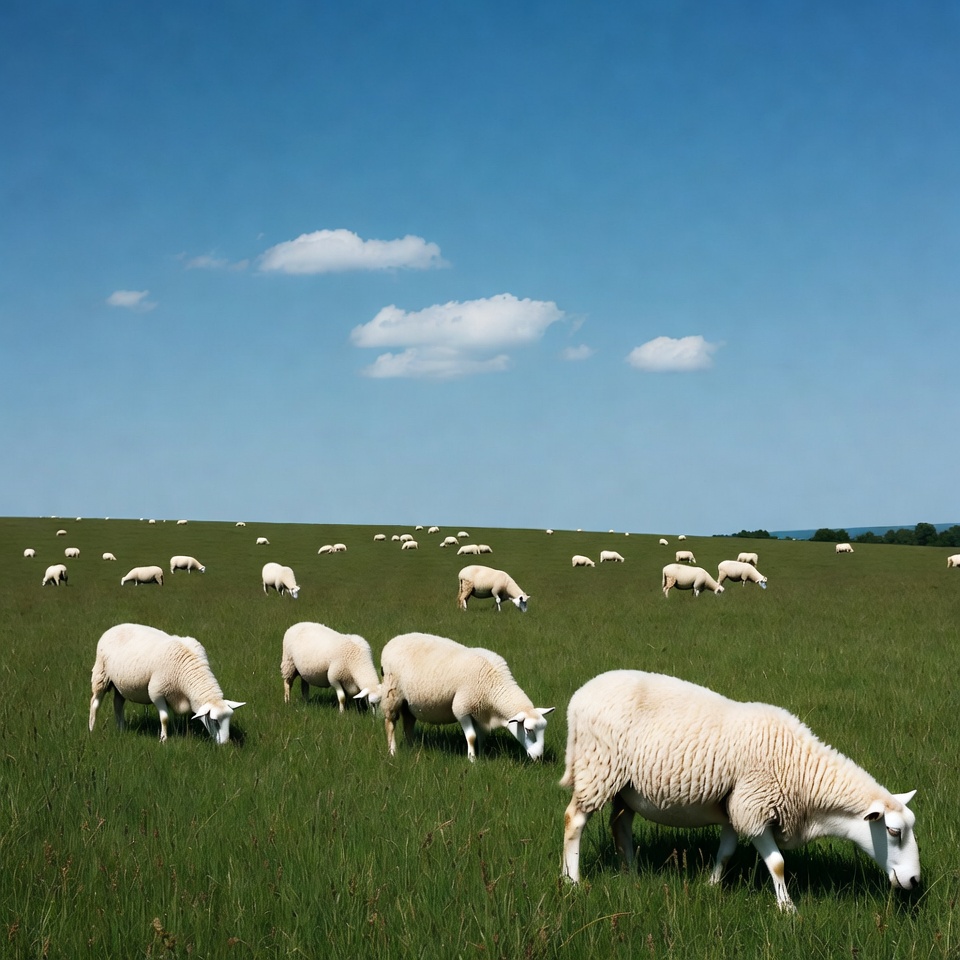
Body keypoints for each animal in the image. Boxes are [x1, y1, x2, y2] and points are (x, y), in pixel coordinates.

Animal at [89, 622, 244, 744]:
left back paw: (121, 729)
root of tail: (114, 627)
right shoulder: (157, 692)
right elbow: (164, 718)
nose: (225, 744)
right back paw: (92, 729)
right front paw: (163, 739)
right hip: (101, 674)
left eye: (229, 719)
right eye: (215, 721)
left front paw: (179, 733)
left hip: (120, 684)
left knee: (118, 704)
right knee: (95, 703)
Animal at [380, 631, 553, 761]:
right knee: (390, 723)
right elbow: (471, 737)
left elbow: (482, 736)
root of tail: (393, 641)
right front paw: (472, 759)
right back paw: (392, 752)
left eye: (544, 728)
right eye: (528, 730)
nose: (539, 757)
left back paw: (412, 748)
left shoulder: (480, 711)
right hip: (392, 694)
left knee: (408, 724)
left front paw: (482, 754)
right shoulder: (462, 708)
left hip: (408, 703)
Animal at [559, 669, 920, 911]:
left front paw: (711, 885)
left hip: (624, 787)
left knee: (620, 824)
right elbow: (777, 863)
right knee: (574, 820)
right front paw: (788, 910)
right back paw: (572, 881)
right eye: (892, 831)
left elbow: (726, 851)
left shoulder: (734, 808)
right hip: (597, 769)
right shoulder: (754, 809)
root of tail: (578, 698)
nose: (915, 881)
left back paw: (631, 872)